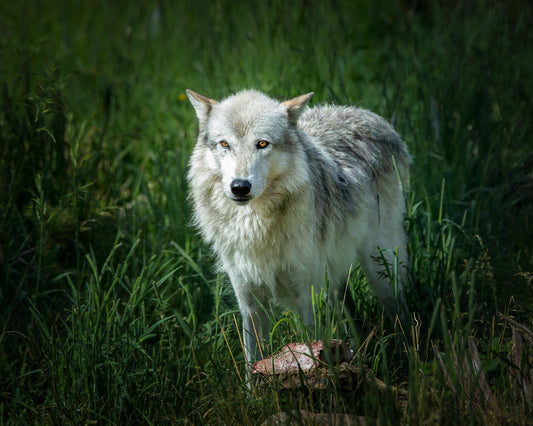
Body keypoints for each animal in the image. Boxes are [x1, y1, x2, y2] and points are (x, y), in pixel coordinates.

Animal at [185, 88, 410, 374]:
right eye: (225, 144)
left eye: (262, 144)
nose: (240, 187)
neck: (255, 225)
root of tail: (366, 113)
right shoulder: (250, 303)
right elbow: (252, 361)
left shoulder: (307, 296)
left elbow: (310, 346)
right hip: (336, 279)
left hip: (382, 269)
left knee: (400, 314)